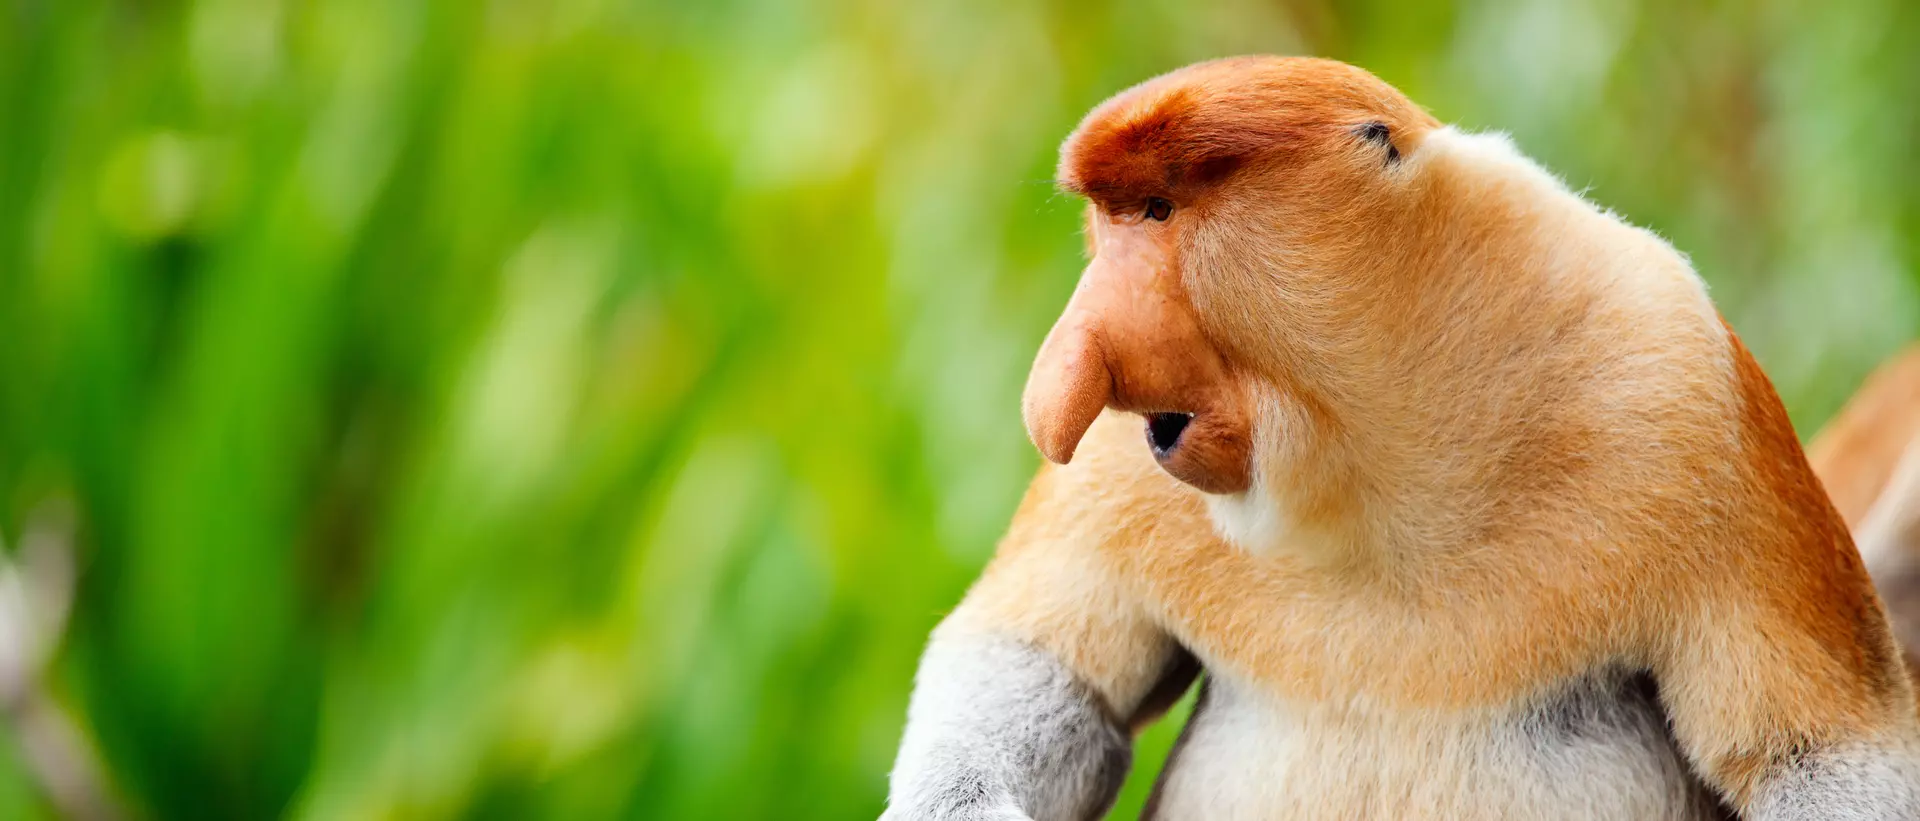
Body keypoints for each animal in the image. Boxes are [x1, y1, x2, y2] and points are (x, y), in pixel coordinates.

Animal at [881, 57, 1920, 820]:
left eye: (1159, 211)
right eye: (1111, 218)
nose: (1065, 370)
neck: (1383, 450)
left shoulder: (1685, 385)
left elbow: (1816, 751)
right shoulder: (1118, 470)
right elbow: (1036, 665)